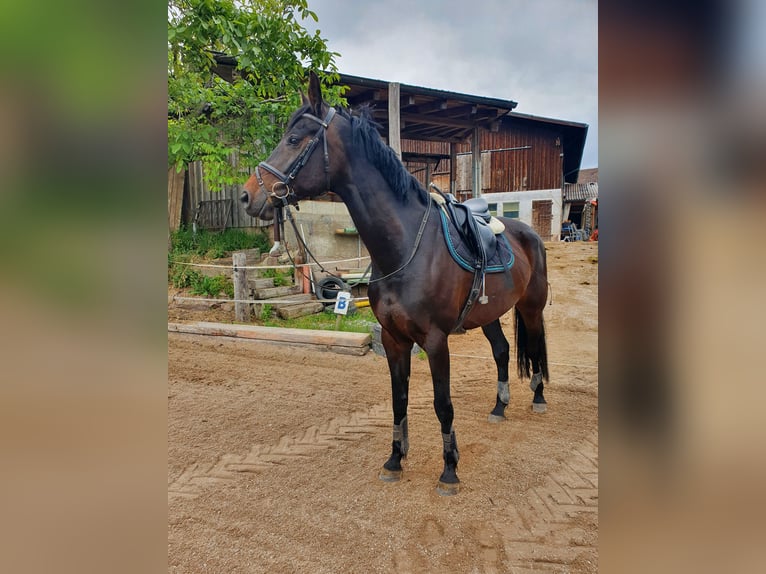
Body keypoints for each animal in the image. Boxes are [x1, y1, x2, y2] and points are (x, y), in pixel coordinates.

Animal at [243, 71, 548, 496]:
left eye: (294, 139)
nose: (247, 196)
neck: (406, 248)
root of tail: (528, 233)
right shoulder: (392, 339)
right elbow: (398, 400)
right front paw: (394, 459)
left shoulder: (435, 341)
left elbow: (442, 404)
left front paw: (449, 470)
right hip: (489, 314)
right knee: (503, 351)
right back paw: (499, 406)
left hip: (531, 307)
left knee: (534, 348)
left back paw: (538, 398)